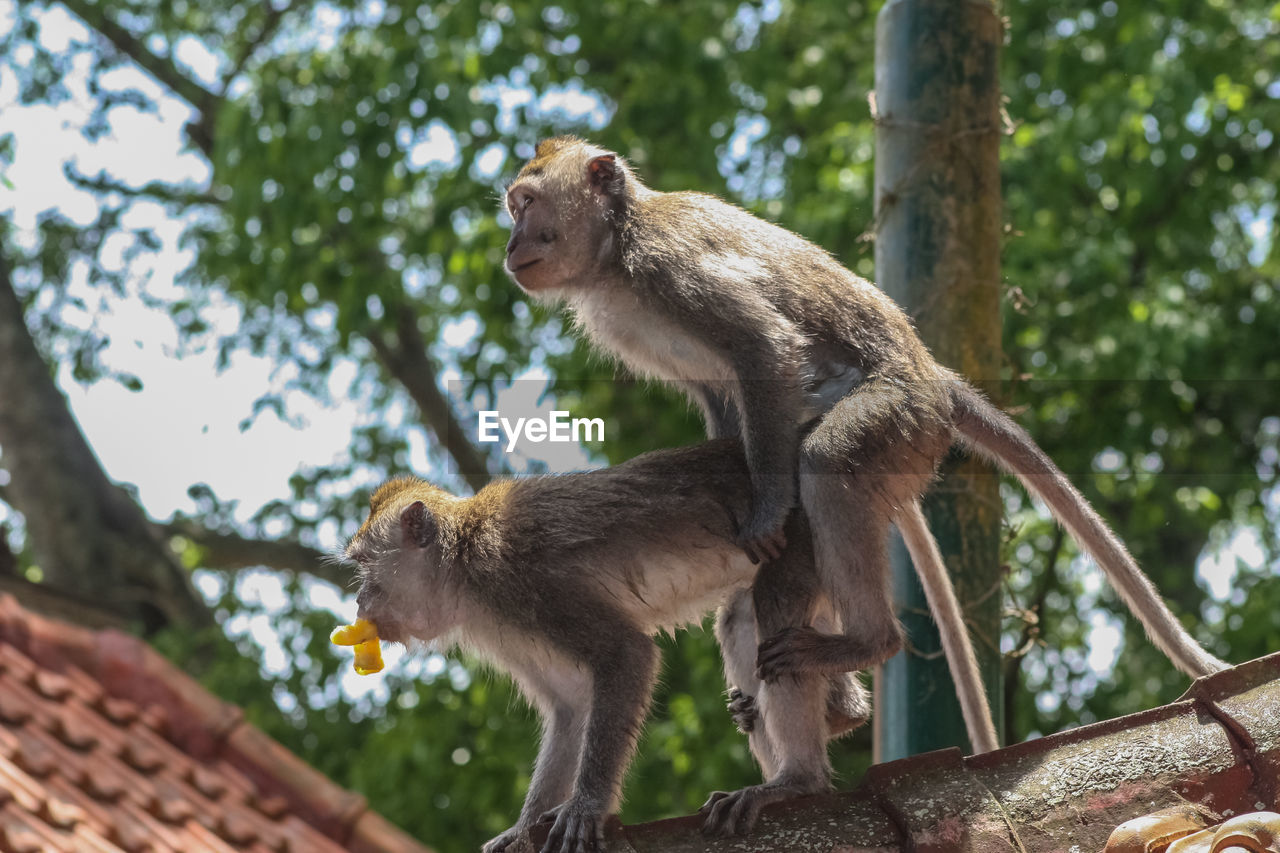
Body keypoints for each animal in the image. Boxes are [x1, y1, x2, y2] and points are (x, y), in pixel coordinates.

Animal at [345, 440, 921, 850]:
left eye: (362, 565)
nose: (357, 601)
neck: (461, 564)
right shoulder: (502, 622)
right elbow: (571, 707)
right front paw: (523, 828)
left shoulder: (520, 582)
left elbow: (625, 654)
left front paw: (586, 808)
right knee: (742, 616)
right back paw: (833, 718)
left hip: (803, 532)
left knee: (774, 607)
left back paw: (798, 781)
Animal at [499, 136, 1228, 814]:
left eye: (527, 203)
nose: (510, 244)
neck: (613, 256)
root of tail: (934, 378)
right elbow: (723, 398)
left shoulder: (668, 268)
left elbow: (763, 349)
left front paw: (766, 507)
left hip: (900, 419)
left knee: (827, 463)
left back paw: (863, 644)